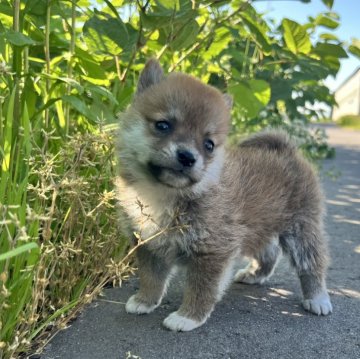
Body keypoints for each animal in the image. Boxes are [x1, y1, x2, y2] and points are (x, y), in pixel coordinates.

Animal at [115, 58, 332, 332]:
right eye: (163, 125)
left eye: (208, 145)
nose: (187, 157)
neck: (164, 195)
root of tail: (287, 149)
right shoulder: (148, 244)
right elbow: (151, 278)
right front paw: (145, 301)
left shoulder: (213, 251)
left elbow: (201, 289)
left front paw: (187, 317)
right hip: (259, 228)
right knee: (270, 252)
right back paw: (254, 275)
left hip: (301, 229)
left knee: (312, 263)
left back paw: (317, 299)